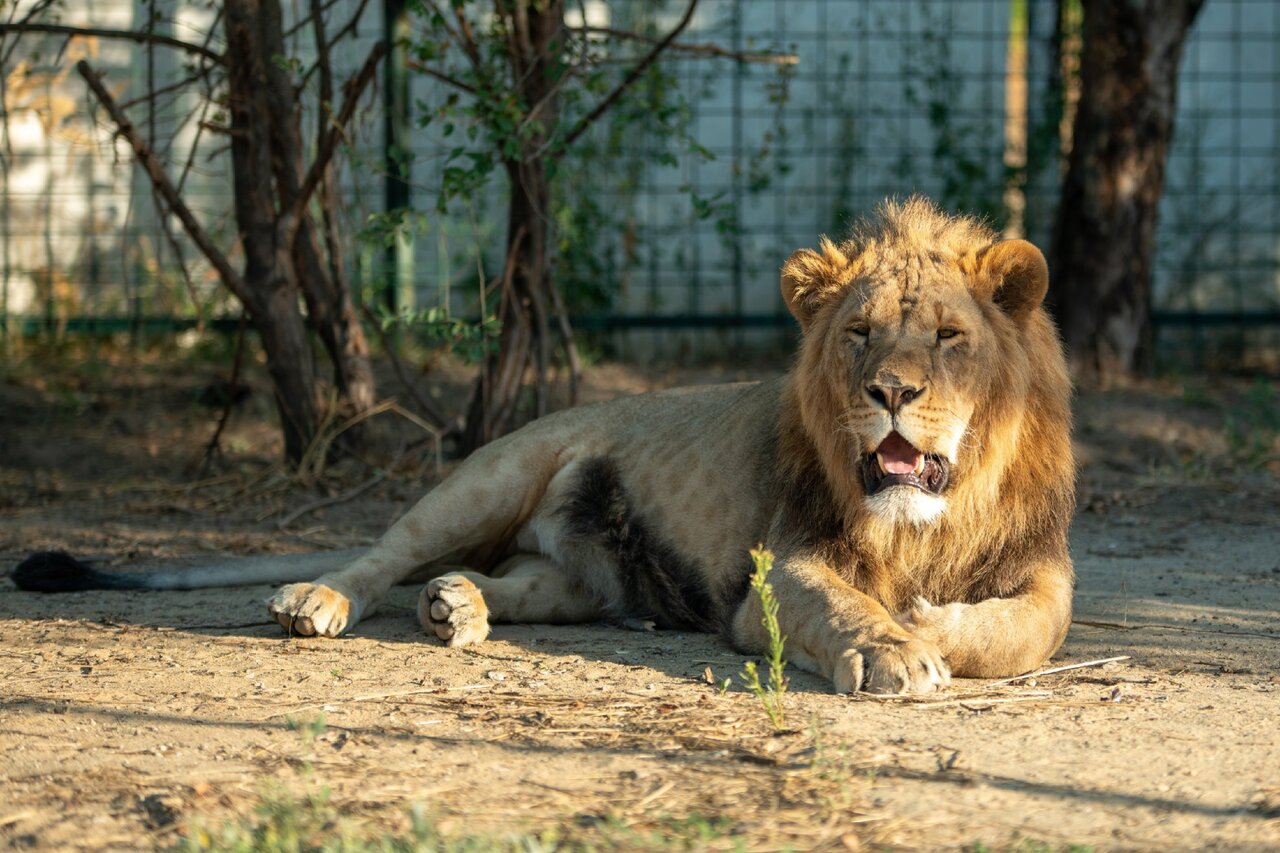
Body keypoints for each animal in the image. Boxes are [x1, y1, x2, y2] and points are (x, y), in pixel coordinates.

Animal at [15, 197, 1075, 691]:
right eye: (858, 333)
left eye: (947, 337)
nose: (889, 391)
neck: (930, 512)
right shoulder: (781, 568)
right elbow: (850, 604)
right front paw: (893, 642)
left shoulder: (1045, 569)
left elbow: (1030, 628)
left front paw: (929, 622)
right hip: (490, 474)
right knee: (380, 556)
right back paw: (318, 600)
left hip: (584, 577)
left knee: (520, 581)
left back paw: (457, 607)